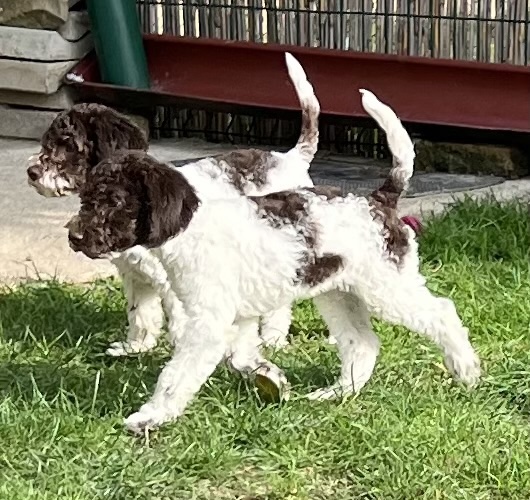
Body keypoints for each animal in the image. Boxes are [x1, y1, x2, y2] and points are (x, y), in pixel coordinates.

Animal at [67, 90, 478, 434]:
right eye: (86, 197)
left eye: (114, 202)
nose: (74, 237)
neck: (189, 228)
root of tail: (379, 199)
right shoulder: (239, 319)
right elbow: (242, 357)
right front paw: (271, 378)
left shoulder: (207, 323)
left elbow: (175, 375)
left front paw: (150, 416)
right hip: (339, 294)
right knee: (362, 343)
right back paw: (337, 394)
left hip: (386, 287)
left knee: (442, 313)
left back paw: (467, 371)